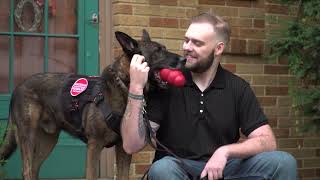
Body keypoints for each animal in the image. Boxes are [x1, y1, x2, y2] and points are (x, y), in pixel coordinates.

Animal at [0, 30, 185, 179]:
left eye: (164, 48)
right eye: (158, 51)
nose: (184, 59)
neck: (124, 86)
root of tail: (17, 87)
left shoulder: (123, 149)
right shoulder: (94, 146)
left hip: (48, 140)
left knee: (34, 169)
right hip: (28, 136)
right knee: (27, 170)